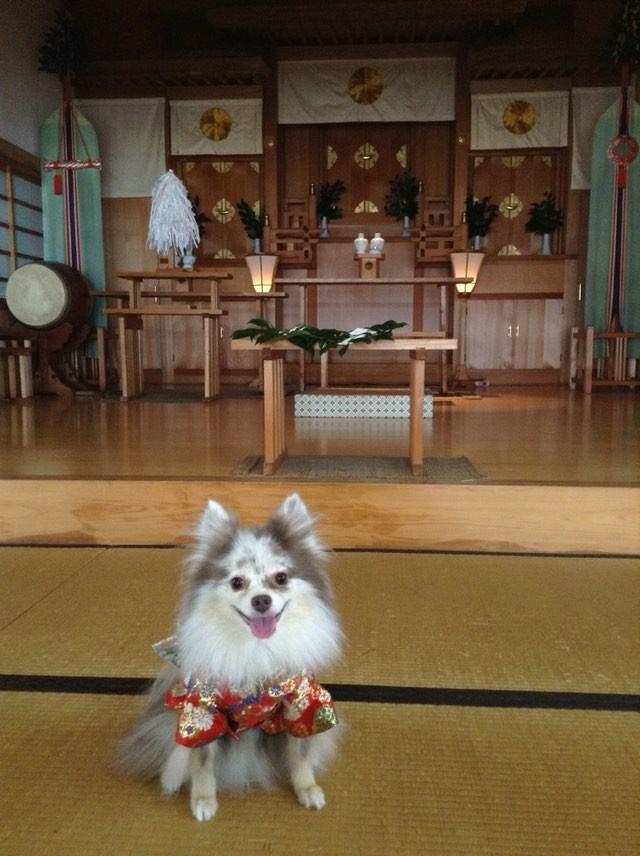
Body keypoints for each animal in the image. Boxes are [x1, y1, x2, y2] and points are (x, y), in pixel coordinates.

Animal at [117, 494, 342, 824]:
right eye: (237, 582)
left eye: (281, 578)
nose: (261, 600)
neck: (257, 648)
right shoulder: (202, 710)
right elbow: (201, 759)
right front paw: (203, 799)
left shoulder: (300, 703)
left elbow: (299, 751)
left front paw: (307, 788)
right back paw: (171, 778)